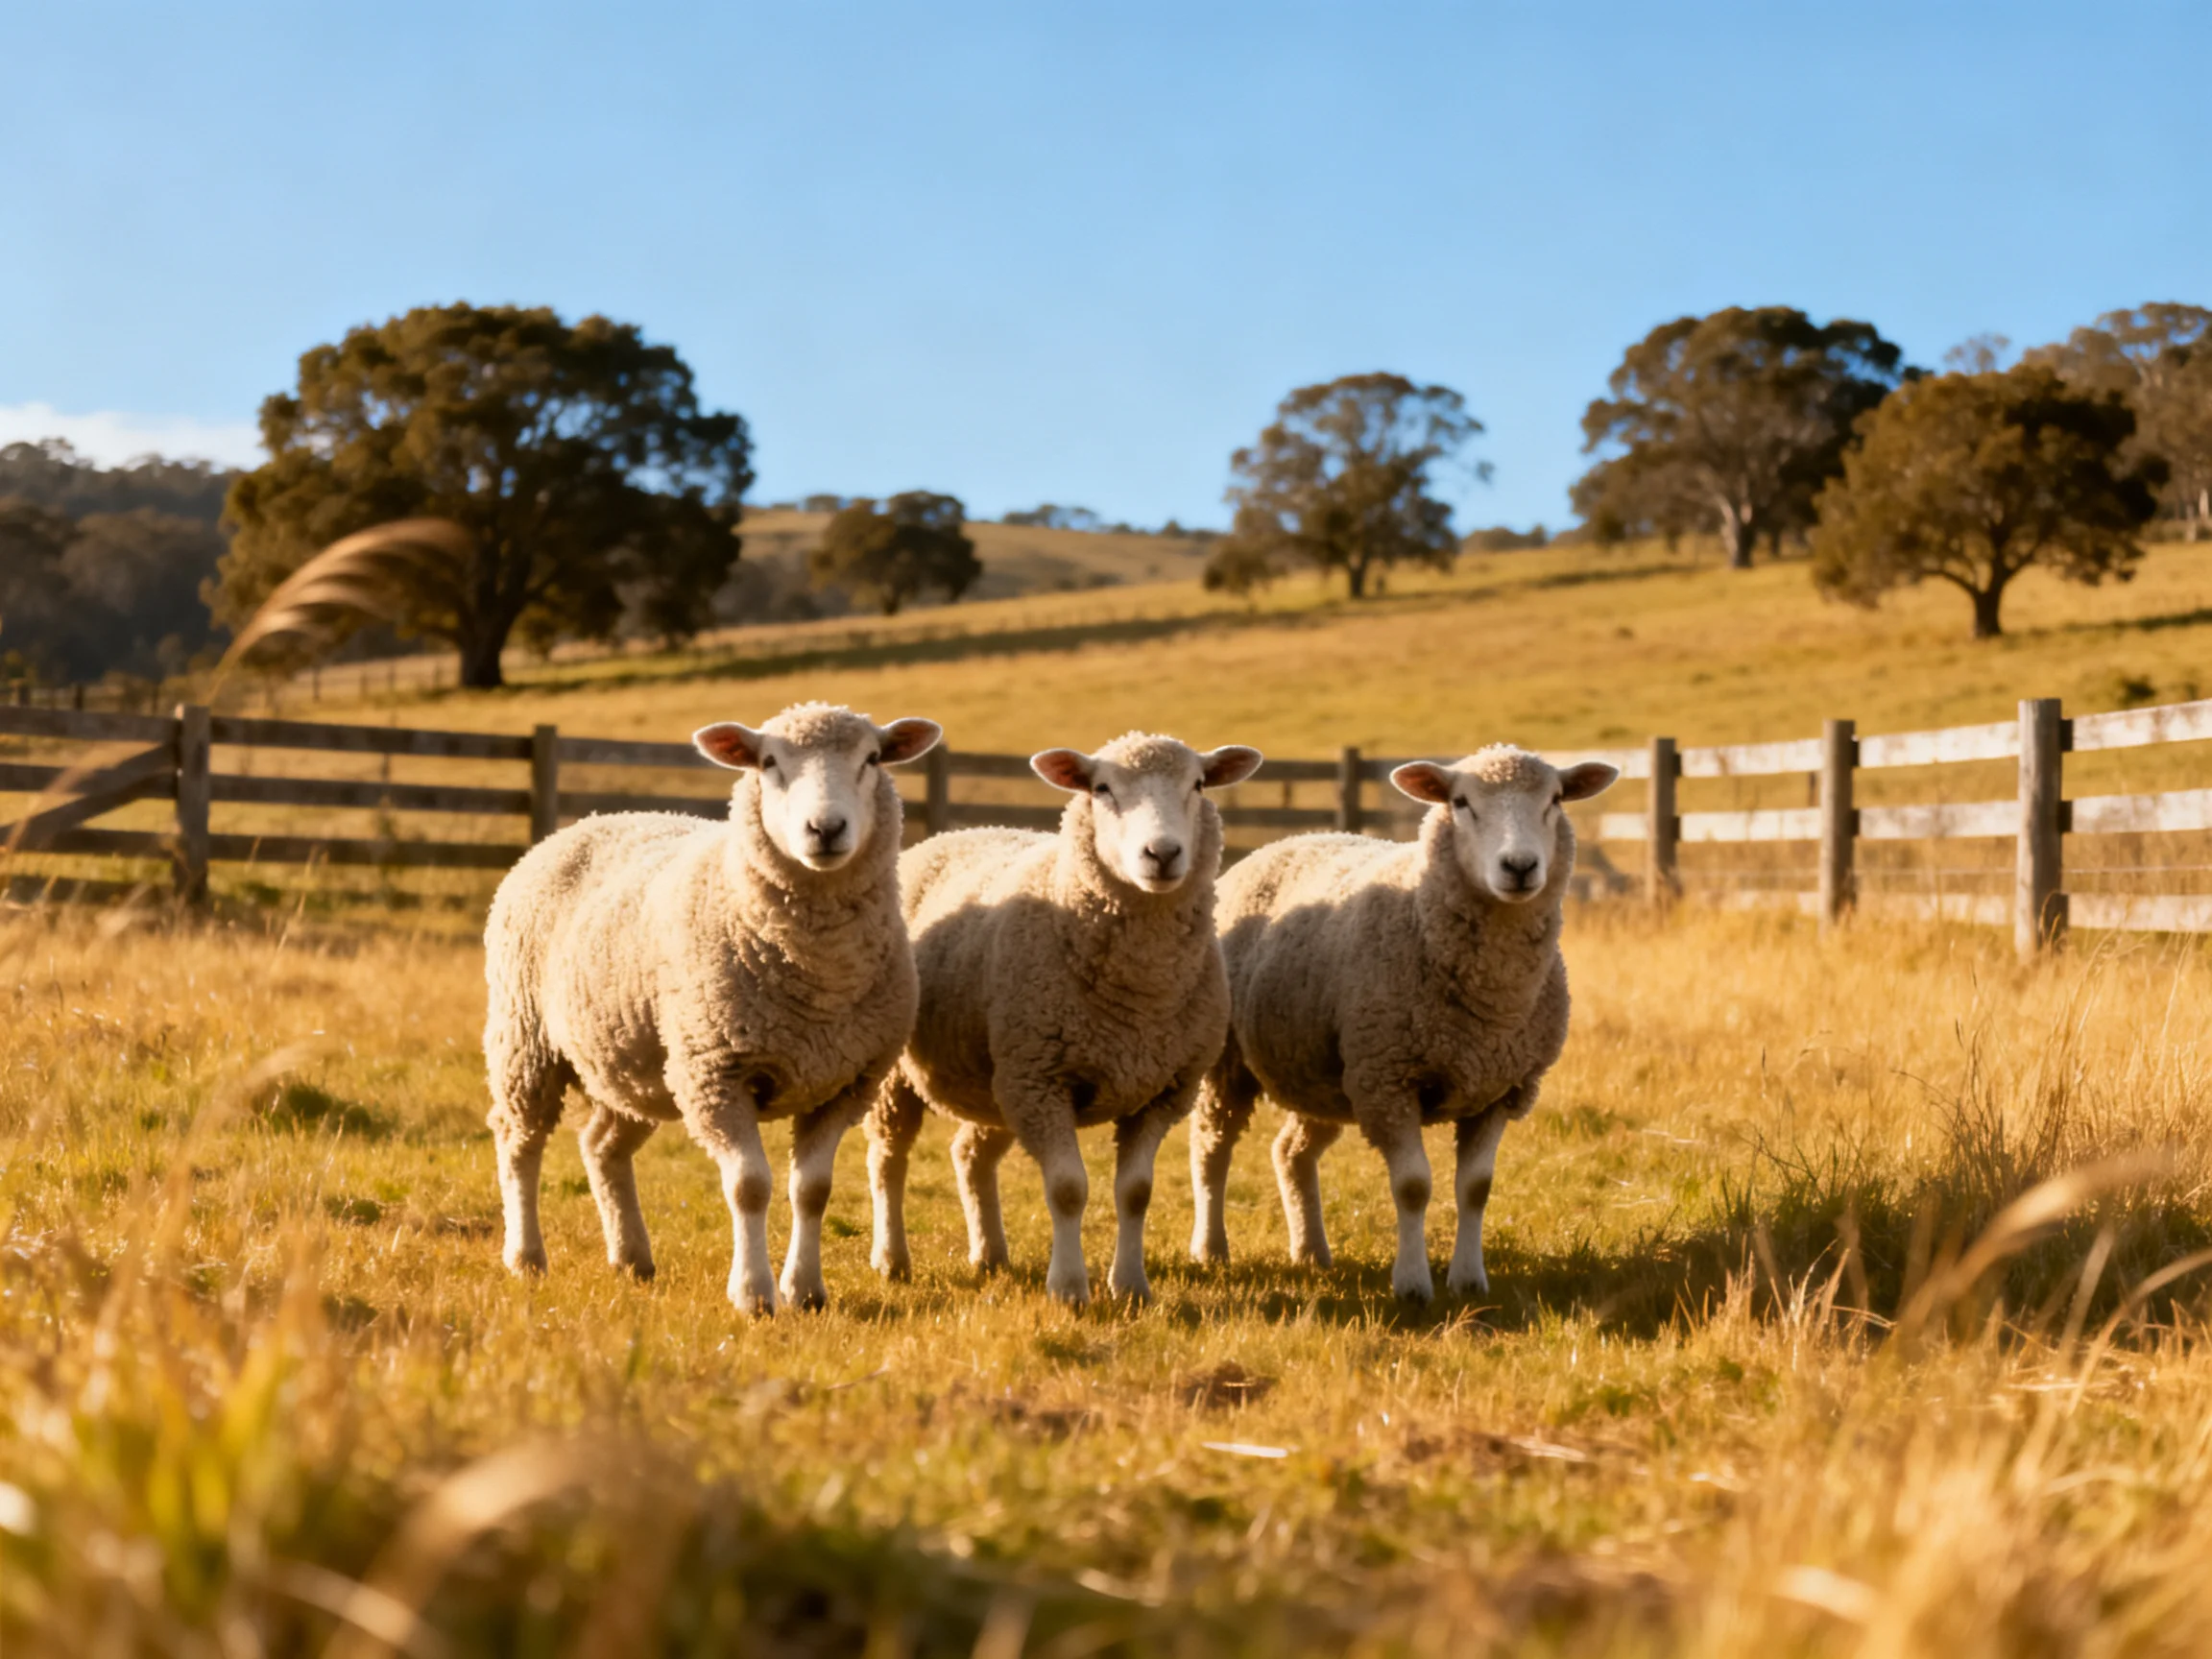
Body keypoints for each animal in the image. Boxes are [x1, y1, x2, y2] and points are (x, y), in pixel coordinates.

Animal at [483, 701, 942, 1315]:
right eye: (768, 762)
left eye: (872, 758)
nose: (825, 830)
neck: (819, 980)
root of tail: (586, 821)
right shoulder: (718, 1073)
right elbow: (750, 1186)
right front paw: (753, 1294)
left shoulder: (844, 1083)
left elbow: (812, 1190)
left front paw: (806, 1291)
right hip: (525, 1037)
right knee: (520, 1142)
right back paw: (526, 1257)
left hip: (639, 1065)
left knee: (601, 1146)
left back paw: (631, 1257)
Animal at [864, 731, 1264, 1305]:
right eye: (1102, 789)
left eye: (1198, 785)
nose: (1162, 853)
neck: (1141, 993)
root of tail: (955, 832)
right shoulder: (1043, 1081)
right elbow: (1069, 1189)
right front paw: (1070, 1288)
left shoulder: (1163, 1091)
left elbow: (1136, 1193)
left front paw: (1131, 1286)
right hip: (912, 1074)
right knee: (888, 1157)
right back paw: (892, 1258)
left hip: (998, 1083)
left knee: (969, 1154)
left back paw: (990, 1254)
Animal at [1187, 745, 1618, 1302]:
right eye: (1460, 802)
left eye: (1556, 799)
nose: (1520, 866)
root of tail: (1286, 841)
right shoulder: (1390, 1081)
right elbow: (1413, 1186)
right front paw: (1413, 1284)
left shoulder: (1500, 1089)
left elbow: (1476, 1189)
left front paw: (1469, 1281)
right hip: (1232, 1063)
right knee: (1211, 1147)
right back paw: (1211, 1248)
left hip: (1325, 1075)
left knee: (1290, 1152)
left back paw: (1311, 1251)